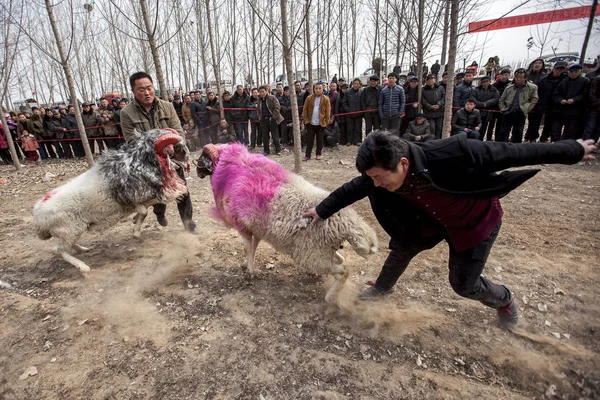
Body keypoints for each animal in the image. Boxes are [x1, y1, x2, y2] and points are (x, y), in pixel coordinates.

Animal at [196, 142, 376, 302]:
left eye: (203, 157)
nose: (196, 170)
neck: (233, 168)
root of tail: (346, 222)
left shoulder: (243, 226)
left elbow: (247, 248)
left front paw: (249, 272)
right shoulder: (257, 228)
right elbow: (253, 247)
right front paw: (249, 266)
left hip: (311, 255)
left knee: (344, 271)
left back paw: (330, 297)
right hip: (320, 250)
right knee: (340, 261)